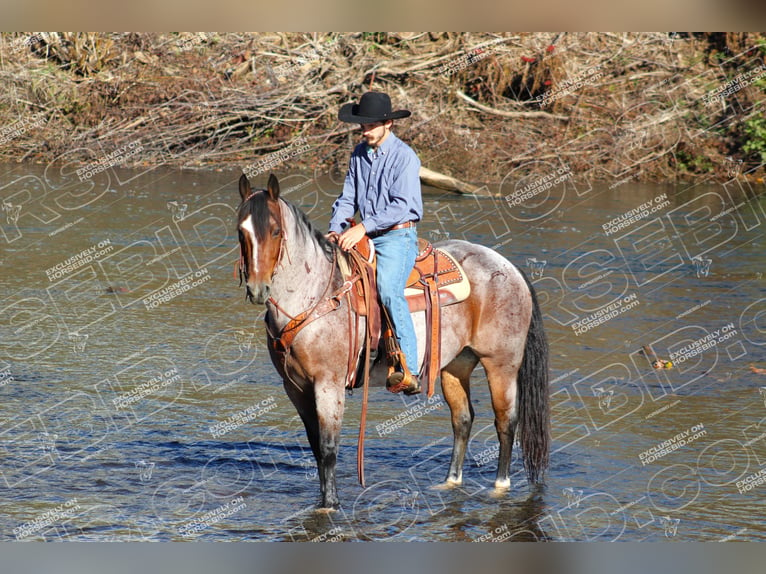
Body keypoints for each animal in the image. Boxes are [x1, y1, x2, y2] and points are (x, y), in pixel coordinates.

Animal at [236, 173, 552, 510]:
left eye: (275, 230)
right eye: (241, 230)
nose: (257, 289)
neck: (316, 293)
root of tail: (509, 266)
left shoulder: (328, 383)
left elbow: (328, 447)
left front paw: (330, 505)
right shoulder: (295, 387)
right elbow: (315, 447)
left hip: (501, 365)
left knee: (506, 421)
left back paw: (500, 486)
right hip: (456, 365)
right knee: (462, 419)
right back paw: (450, 481)